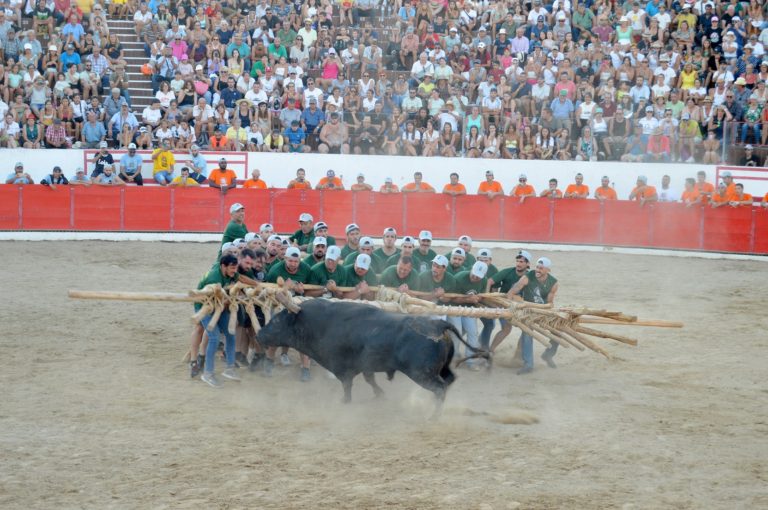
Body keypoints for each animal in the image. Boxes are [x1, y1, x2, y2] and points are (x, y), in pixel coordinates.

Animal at [258, 298, 480, 410]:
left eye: (276, 321)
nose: (259, 334)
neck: (319, 323)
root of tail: (438, 324)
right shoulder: (366, 365)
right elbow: (369, 379)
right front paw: (380, 394)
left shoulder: (343, 368)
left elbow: (347, 385)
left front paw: (345, 401)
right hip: (441, 369)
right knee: (449, 381)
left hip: (422, 374)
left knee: (440, 388)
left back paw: (433, 416)